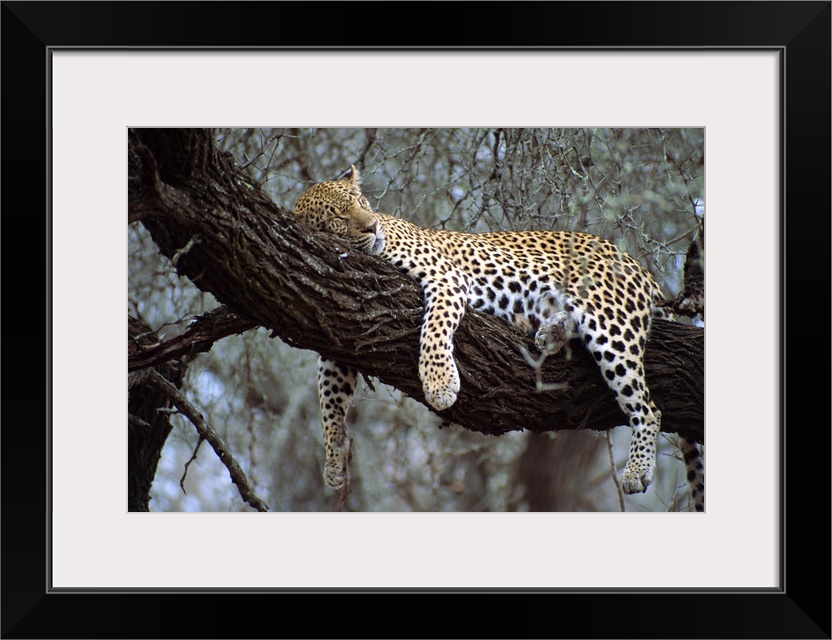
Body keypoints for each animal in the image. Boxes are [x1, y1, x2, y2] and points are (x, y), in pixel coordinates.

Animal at [292, 168, 704, 512]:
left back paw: (636, 470)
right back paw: (550, 332)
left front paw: (439, 383)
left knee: (649, 407)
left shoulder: (446, 279)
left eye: (362, 203)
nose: (373, 227)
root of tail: (636, 265)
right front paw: (333, 459)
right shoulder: (337, 327)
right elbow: (329, 397)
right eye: (339, 217)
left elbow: (434, 329)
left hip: (610, 322)